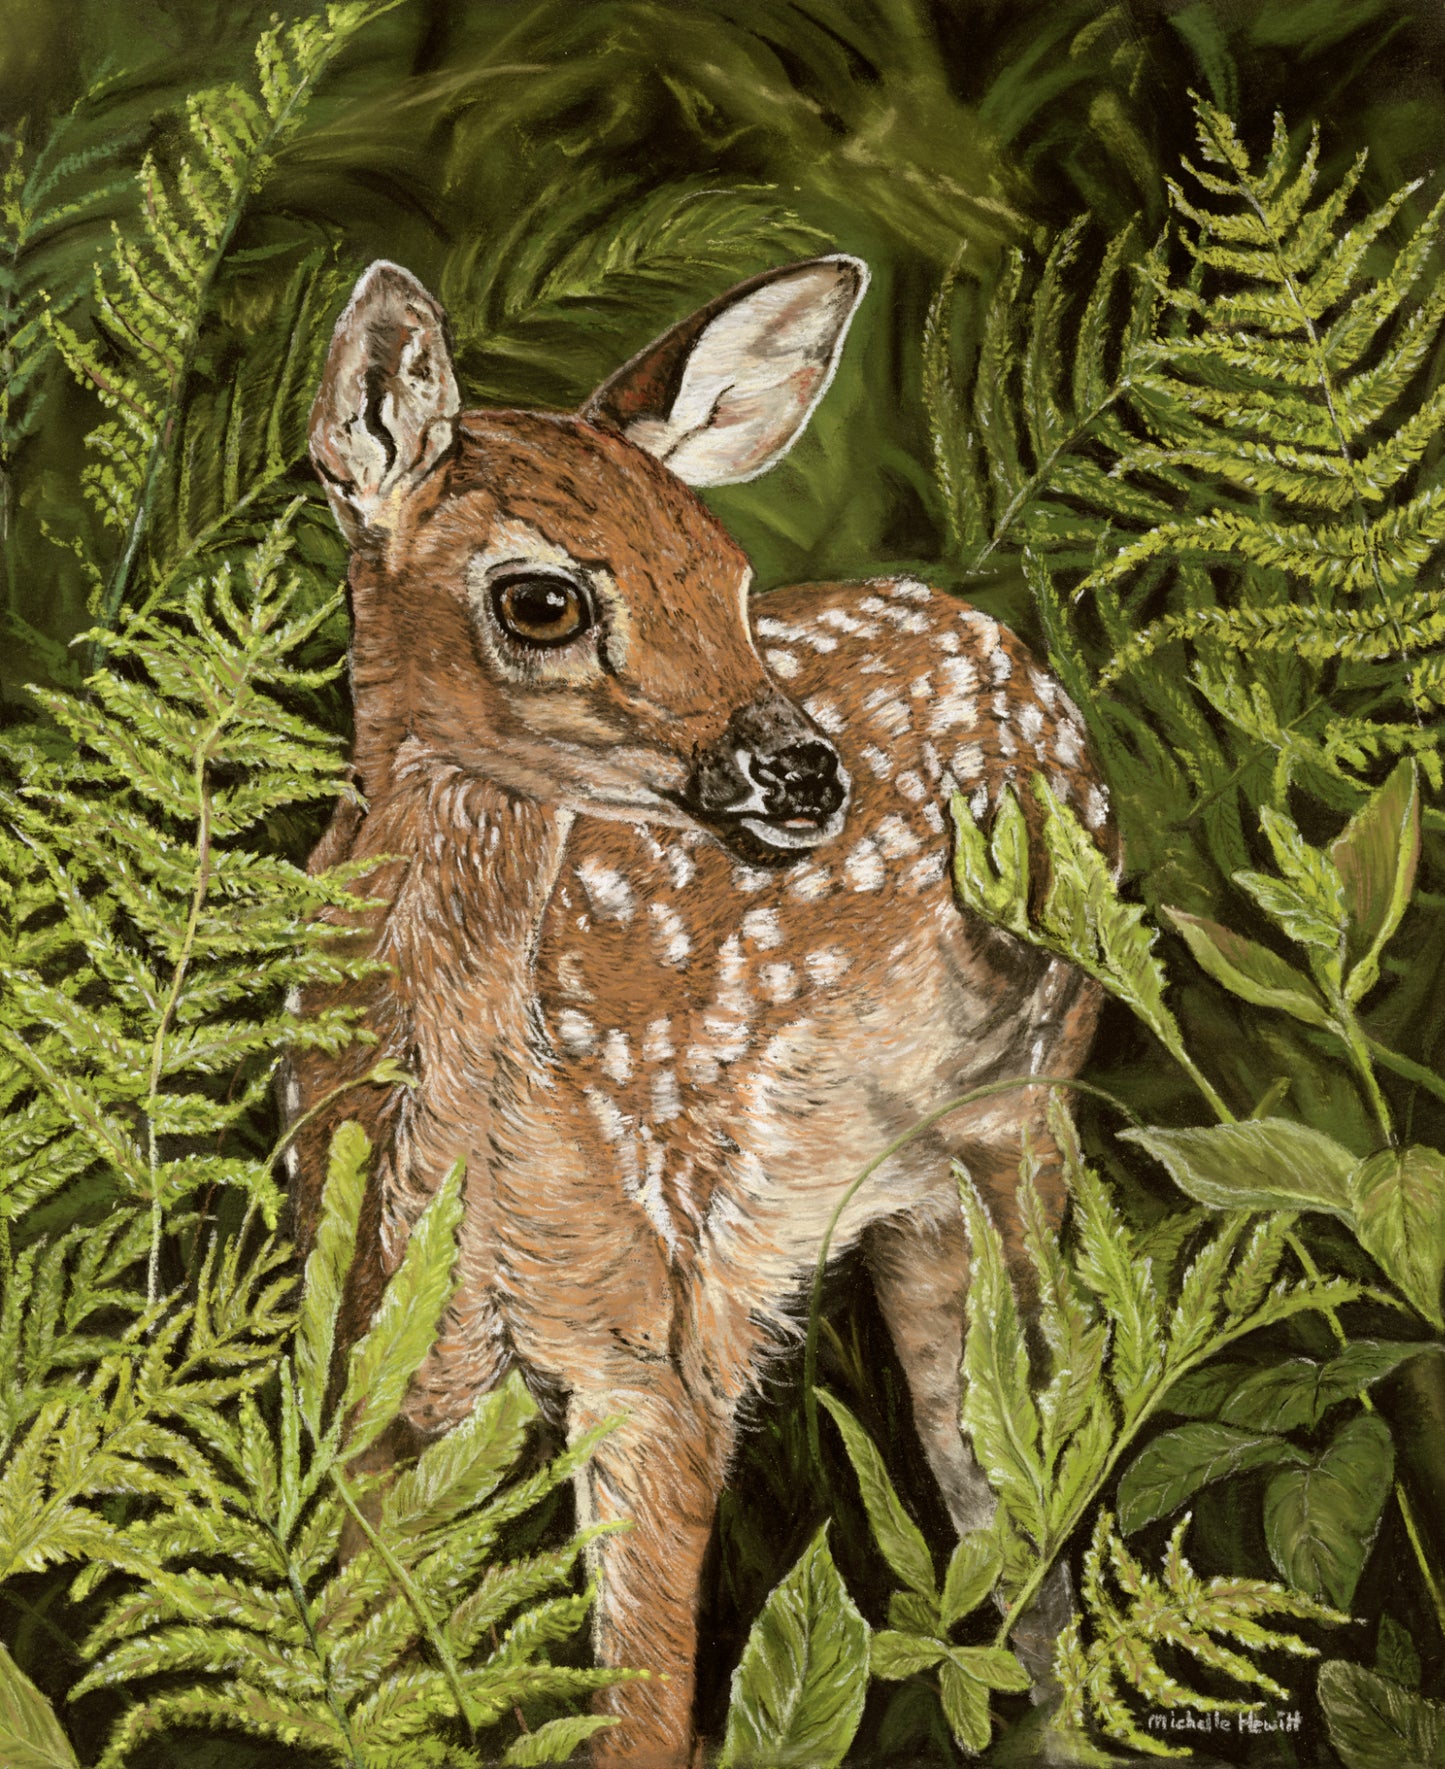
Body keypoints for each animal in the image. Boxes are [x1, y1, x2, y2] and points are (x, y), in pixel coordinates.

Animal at [289, 252, 1111, 1765]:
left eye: (727, 579)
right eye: (542, 600)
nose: (802, 771)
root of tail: (1001, 641)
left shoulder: (657, 1346)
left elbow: (644, 1710)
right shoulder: (377, 1364)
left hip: (1023, 1121)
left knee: (1033, 1501)